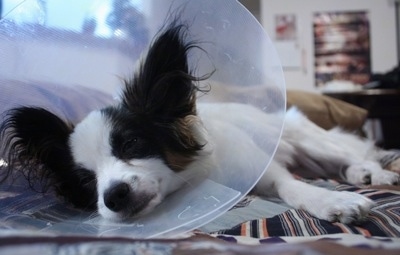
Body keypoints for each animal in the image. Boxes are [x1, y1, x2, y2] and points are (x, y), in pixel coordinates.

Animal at [0, 21, 400, 223]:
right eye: (86, 181)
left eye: (131, 144)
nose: (113, 196)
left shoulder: (267, 171)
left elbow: (291, 187)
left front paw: (330, 200)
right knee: (338, 165)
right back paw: (363, 175)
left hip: (309, 139)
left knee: (349, 155)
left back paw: (375, 173)